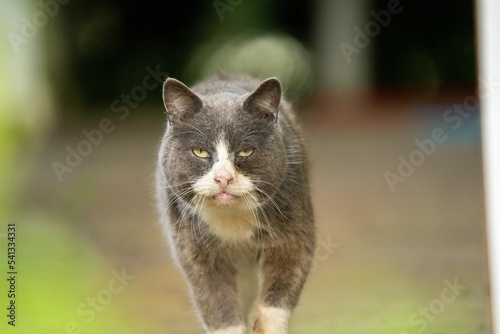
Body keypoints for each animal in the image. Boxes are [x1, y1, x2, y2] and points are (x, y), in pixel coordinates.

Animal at [156, 73, 314, 334]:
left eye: (246, 151)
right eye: (200, 151)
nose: (223, 178)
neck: (232, 219)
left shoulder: (293, 234)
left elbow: (275, 301)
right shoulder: (195, 253)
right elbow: (218, 309)